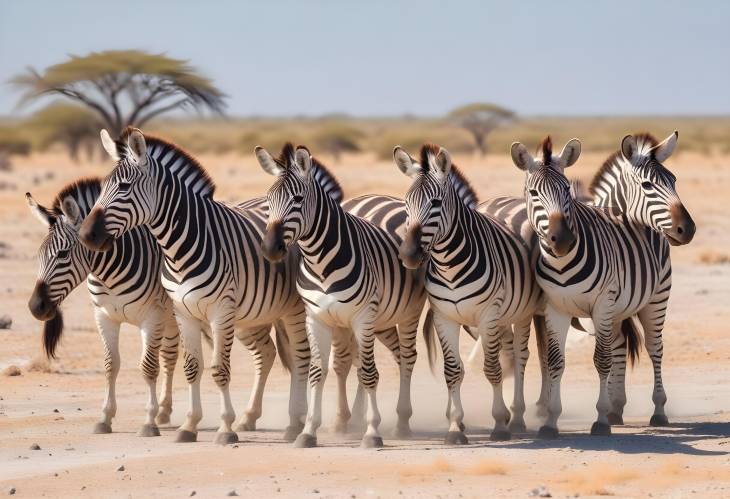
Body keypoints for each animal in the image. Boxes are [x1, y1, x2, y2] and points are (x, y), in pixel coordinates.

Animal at [27, 180, 179, 438]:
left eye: (63, 254)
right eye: (39, 255)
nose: (35, 307)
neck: (111, 275)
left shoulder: (152, 317)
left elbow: (148, 367)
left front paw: (148, 421)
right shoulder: (104, 316)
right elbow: (110, 364)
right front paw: (105, 417)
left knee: (172, 356)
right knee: (170, 355)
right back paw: (165, 411)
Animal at [79, 129, 310, 446]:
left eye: (124, 187)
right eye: (102, 187)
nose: (86, 235)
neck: (179, 248)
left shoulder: (219, 311)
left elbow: (219, 369)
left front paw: (225, 428)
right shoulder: (183, 312)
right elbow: (191, 367)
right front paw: (189, 425)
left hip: (294, 310)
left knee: (301, 357)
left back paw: (295, 424)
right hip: (260, 313)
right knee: (269, 353)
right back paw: (254, 417)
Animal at [256, 144, 426, 450]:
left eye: (297, 199)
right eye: (268, 199)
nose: (270, 249)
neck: (321, 263)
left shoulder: (363, 317)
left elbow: (370, 373)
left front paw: (372, 432)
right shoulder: (317, 318)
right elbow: (318, 372)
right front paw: (308, 430)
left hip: (406, 313)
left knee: (406, 357)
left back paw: (402, 422)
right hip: (379, 321)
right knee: (374, 359)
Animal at [392, 144, 540, 442]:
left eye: (435, 203)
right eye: (405, 203)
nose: (409, 255)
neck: (449, 265)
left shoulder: (487, 314)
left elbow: (492, 369)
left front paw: (499, 425)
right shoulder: (444, 316)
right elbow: (453, 370)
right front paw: (454, 426)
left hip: (520, 313)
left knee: (520, 356)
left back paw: (517, 418)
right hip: (496, 320)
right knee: (508, 353)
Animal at [510, 135, 692, 440]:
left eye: (567, 190)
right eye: (534, 193)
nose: (687, 229)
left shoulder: (603, 303)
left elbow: (601, 360)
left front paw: (600, 420)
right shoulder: (555, 307)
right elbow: (556, 361)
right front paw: (551, 421)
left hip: (655, 300)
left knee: (654, 348)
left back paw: (657, 410)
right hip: (617, 310)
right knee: (618, 345)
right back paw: (616, 407)